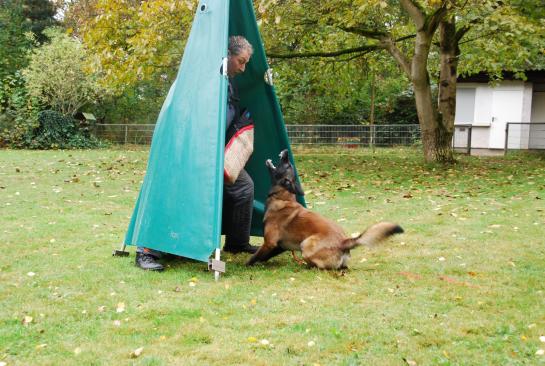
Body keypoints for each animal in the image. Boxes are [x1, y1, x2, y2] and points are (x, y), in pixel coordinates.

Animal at [244, 149, 402, 268]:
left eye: (287, 165)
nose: (286, 152)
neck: (282, 197)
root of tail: (344, 242)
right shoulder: (279, 246)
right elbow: (263, 256)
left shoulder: (269, 243)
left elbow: (255, 256)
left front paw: (246, 265)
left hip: (306, 244)